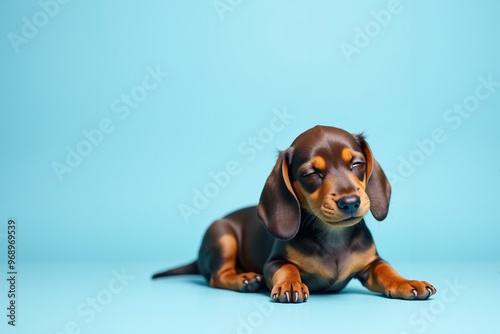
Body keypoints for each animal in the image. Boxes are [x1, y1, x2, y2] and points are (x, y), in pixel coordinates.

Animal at [153, 125, 438, 302]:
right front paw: (291, 283)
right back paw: (245, 279)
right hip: (222, 234)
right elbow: (288, 267)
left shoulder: (371, 264)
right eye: (311, 174)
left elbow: (386, 270)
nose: (350, 202)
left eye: (357, 163)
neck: (333, 236)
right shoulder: (274, 262)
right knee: (216, 276)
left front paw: (406, 282)